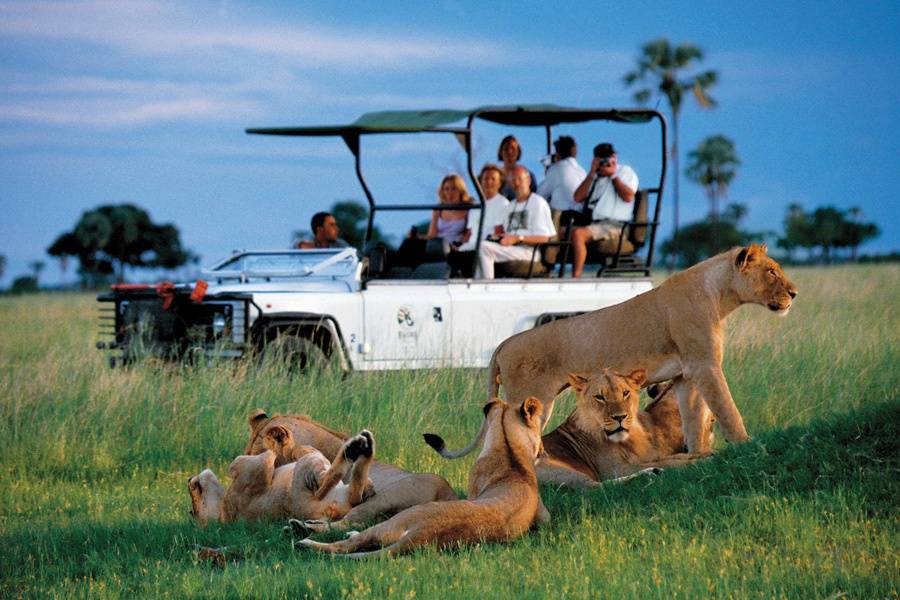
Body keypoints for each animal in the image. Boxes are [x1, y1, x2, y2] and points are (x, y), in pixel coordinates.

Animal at [187, 426, 376, 524]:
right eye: (194, 511)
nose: (188, 480)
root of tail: (335, 511)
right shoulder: (258, 464)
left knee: (362, 489)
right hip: (307, 468)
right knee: (331, 484)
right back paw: (356, 447)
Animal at [296, 398, 548, 556]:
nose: (544, 451)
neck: (510, 452)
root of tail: (422, 536)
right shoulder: (543, 515)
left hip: (397, 518)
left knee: (346, 538)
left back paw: (304, 535)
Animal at [486, 241, 796, 452]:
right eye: (771, 271)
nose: (794, 293)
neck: (719, 297)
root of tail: (503, 345)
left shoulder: (685, 375)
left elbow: (693, 420)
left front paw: (697, 456)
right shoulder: (704, 365)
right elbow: (726, 408)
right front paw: (746, 445)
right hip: (531, 400)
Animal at [536, 368, 716, 490]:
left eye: (625, 393)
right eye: (599, 397)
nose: (620, 417)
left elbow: (673, 457)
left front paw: (704, 454)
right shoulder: (615, 469)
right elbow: (670, 462)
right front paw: (701, 460)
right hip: (558, 470)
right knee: (597, 487)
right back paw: (650, 473)